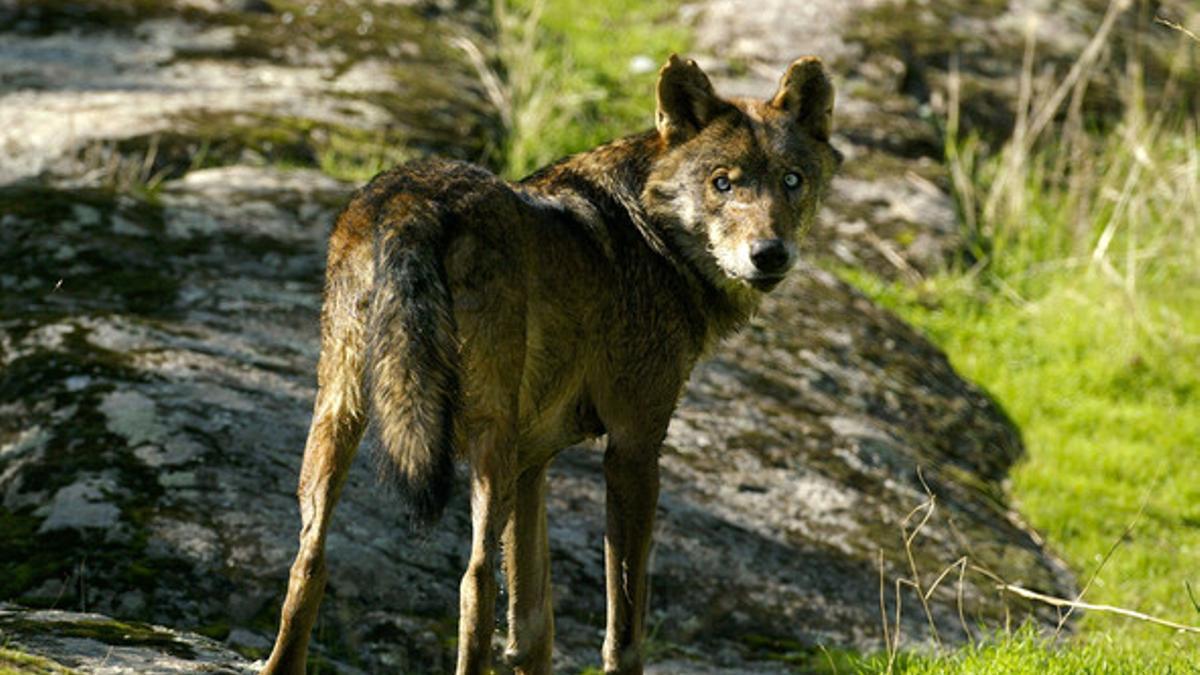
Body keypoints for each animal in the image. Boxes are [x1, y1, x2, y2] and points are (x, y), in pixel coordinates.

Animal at [261, 56, 840, 672]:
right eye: (723, 182)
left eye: (792, 180)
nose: (770, 254)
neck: (652, 233)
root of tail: (412, 198)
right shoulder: (634, 448)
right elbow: (623, 627)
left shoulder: (532, 462)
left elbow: (534, 624)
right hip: (486, 436)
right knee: (474, 579)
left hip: (341, 413)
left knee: (309, 558)